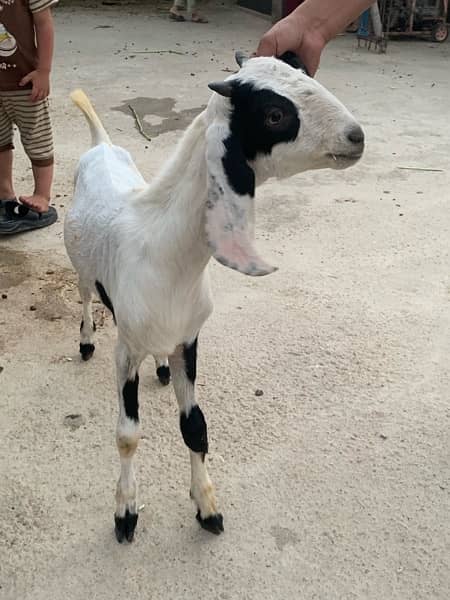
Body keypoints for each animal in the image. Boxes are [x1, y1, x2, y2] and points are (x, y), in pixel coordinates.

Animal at [64, 50, 366, 540]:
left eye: (303, 73)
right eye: (275, 114)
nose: (356, 137)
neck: (164, 251)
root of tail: (102, 144)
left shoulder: (189, 338)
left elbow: (195, 426)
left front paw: (207, 507)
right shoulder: (126, 349)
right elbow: (128, 435)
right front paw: (125, 512)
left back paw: (160, 367)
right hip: (84, 271)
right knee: (86, 295)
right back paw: (86, 339)